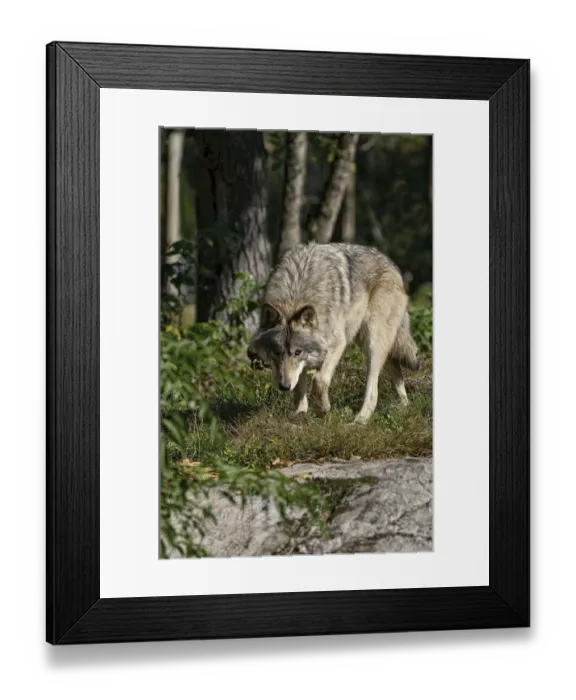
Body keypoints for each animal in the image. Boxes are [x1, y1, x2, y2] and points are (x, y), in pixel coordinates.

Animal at [247, 242, 421, 425]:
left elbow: (319, 380)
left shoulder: (337, 343)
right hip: (365, 340)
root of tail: (393, 266)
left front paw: (322, 409)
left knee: (373, 389)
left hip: (373, 342)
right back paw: (404, 406)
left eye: (297, 352)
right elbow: (299, 388)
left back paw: (359, 421)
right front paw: (300, 414)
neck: (295, 295)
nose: (284, 386)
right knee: (395, 367)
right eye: (276, 352)